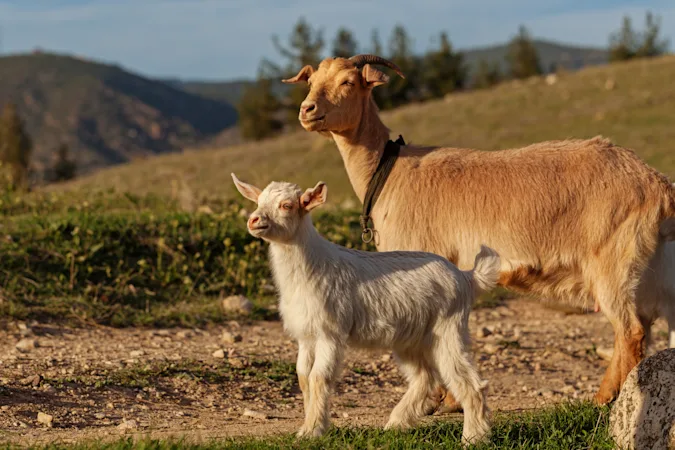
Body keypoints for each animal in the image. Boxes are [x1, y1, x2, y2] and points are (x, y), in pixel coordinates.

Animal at [231, 173, 499, 444]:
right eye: (258, 202)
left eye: (287, 205)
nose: (254, 220)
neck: (313, 266)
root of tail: (466, 277)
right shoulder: (306, 336)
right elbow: (304, 377)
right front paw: (310, 426)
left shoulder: (330, 333)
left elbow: (319, 378)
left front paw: (312, 430)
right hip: (411, 338)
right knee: (425, 377)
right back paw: (396, 423)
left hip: (448, 329)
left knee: (469, 383)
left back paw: (473, 438)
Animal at [281, 54, 675, 408]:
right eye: (311, 81)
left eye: (348, 81)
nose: (307, 109)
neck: (389, 171)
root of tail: (657, 184)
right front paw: (448, 401)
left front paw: (441, 400)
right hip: (651, 269)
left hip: (612, 261)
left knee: (630, 331)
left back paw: (604, 398)